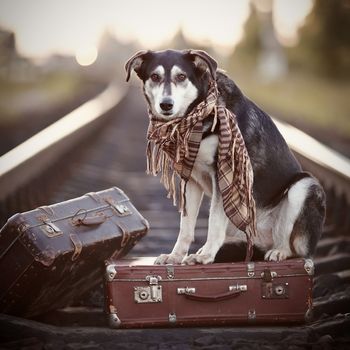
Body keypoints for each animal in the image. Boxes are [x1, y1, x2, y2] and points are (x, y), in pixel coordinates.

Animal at [125, 48, 326, 262]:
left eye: (181, 77)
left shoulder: (225, 174)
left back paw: (279, 251)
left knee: (296, 249)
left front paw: (205, 256)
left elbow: (214, 221)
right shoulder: (191, 179)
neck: (198, 116)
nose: (166, 104)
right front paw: (176, 256)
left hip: (304, 187)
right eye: (155, 76)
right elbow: (185, 226)